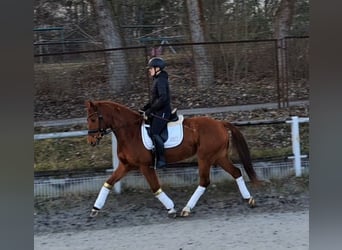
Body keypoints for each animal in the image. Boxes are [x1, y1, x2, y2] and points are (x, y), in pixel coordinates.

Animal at [87, 100, 258, 218]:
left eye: (93, 120)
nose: (91, 141)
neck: (130, 132)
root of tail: (220, 123)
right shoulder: (125, 165)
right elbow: (108, 182)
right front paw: (95, 209)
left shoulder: (145, 166)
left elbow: (155, 188)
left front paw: (171, 208)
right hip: (218, 157)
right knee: (236, 172)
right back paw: (249, 199)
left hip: (205, 157)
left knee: (204, 181)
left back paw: (186, 209)